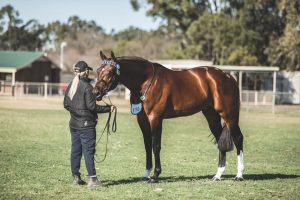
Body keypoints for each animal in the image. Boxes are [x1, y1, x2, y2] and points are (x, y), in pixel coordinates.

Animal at [93, 50, 244, 183]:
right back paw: (218, 175)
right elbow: (147, 146)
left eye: (110, 71)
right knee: (220, 140)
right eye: (98, 70)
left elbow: (155, 146)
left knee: (238, 138)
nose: (96, 92)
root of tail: (228, 76)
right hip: (211, 115)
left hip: (228, 114)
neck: (146, 82)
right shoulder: (142, 120)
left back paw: (239, 175)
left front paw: (155, 176)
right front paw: (146, 175)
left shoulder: (155, 118)